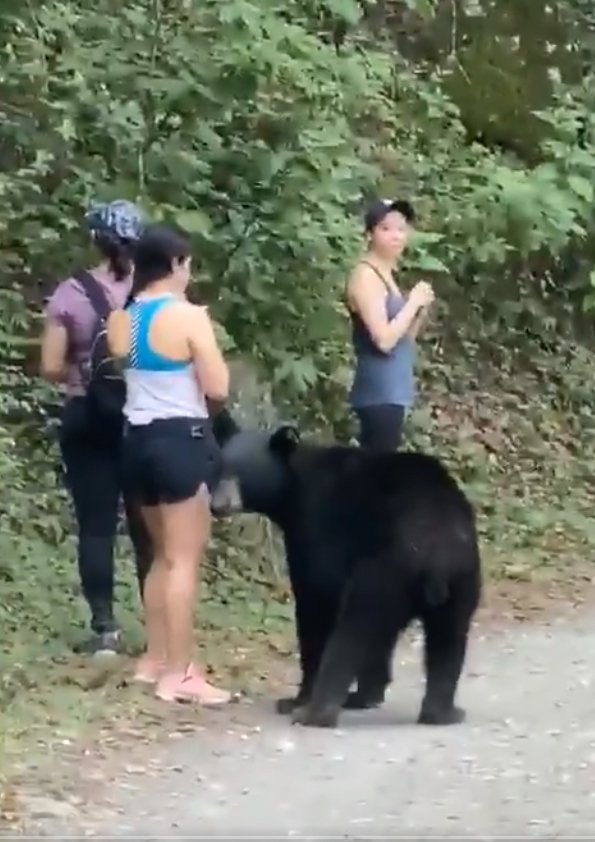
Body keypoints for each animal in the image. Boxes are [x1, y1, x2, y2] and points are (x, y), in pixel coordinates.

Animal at [212, 410, 482, 724]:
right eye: (220, 468)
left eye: (242, 474)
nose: (217, 505)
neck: (294, 490)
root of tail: (435, 548)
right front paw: (367, 694)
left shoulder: (318, 530)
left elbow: (315, 604)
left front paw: (296, 699)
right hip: (462, 576)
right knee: (449, 636)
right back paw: (443, 711)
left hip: (385, 568)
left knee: (353, 632)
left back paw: (316, 712)